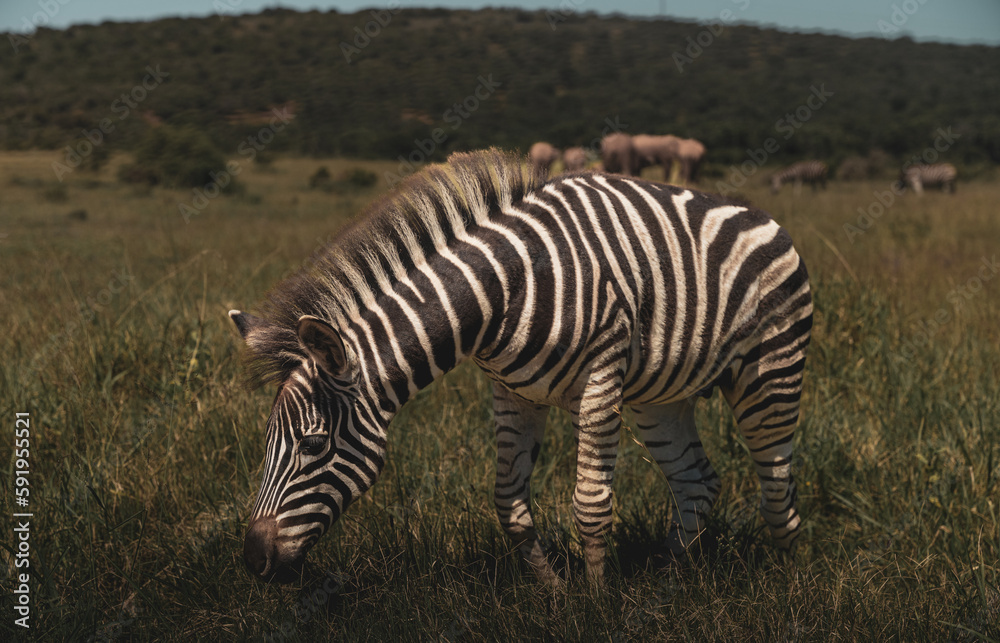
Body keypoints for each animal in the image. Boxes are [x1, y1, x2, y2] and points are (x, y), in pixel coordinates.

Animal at [230, 149, 813, 586]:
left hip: (772, 372)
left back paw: (787, 581)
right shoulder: (512, 393)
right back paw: (669, 581)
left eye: (313, 444)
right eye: (266, 440)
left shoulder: (600, 379)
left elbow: (591, 505)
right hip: (661, 399)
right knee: (698, 484)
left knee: (777, 485)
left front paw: (597, 607)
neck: (502, 292)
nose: (253, 561)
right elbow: (508, 504)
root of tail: (761, 215)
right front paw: (552, 589)